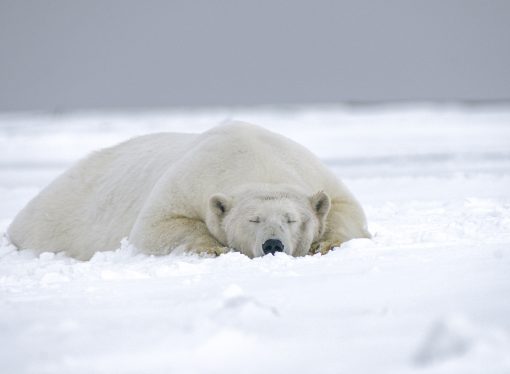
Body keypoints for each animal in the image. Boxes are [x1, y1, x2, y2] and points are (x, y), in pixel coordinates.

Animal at [7, 122, 370, 260]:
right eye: (252, 220)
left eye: (291, 219)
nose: (272, 244)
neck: (254, 158)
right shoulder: (190, 180)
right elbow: (156, 227)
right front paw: (215, 248)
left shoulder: (311, 171)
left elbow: (346, 210)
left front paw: (325, 243)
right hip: (54, 219)